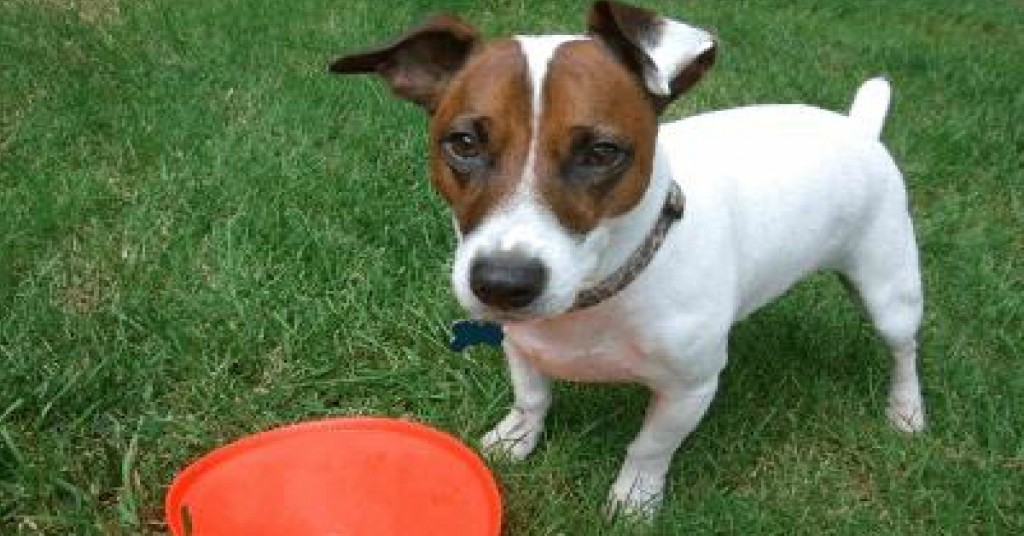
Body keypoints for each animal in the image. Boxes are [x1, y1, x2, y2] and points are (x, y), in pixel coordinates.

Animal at [329, 1, 929, 520]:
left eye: (601, 152)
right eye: (463, 143)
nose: (503, 283)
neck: (598, 295)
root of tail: (858, 126)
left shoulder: (689, 389)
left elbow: (650, 446)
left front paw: (635, 498)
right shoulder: (522, 344)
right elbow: (532, 397)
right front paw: (516, 438)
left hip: (889, 289)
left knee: (902, 349)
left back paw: (906, 410)